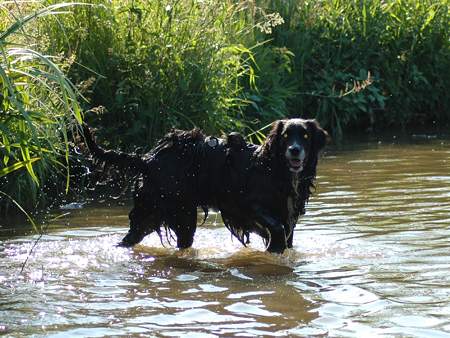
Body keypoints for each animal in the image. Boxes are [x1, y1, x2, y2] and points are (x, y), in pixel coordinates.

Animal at [81, 117, 326, 252]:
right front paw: (275, 247)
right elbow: (276, 228)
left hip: (173, 215)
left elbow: (286, 232)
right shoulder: (245, 203)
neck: (274, 168)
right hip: (157, 210)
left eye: (305, 135)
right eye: (286, 136)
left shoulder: (289, 215)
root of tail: (147, 160)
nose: (295, 150)